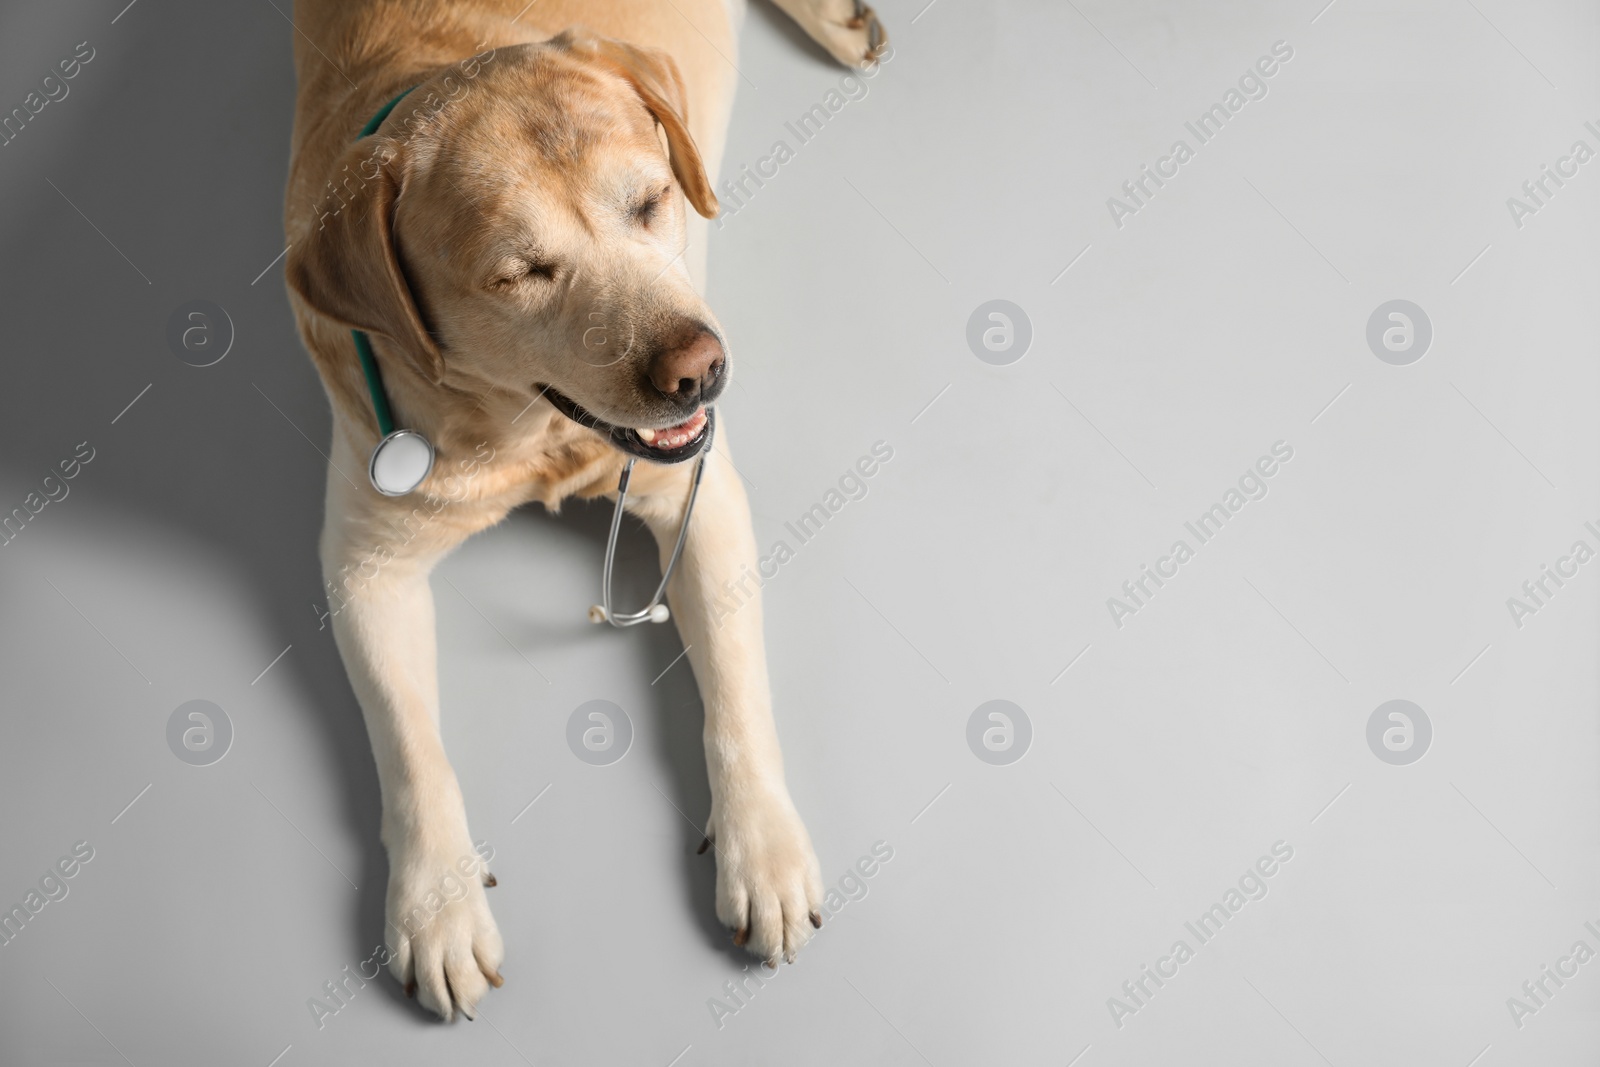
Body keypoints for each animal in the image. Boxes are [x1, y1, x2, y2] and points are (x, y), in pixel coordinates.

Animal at [284, 0, 889, 1023]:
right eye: (521, 273)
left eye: (652, 203)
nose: (700, 369)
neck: (528, 436)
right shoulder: (363, 564)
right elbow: (408, 742)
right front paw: (435, 902)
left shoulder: (704, 498)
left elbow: (736, 690)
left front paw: (761, 848)